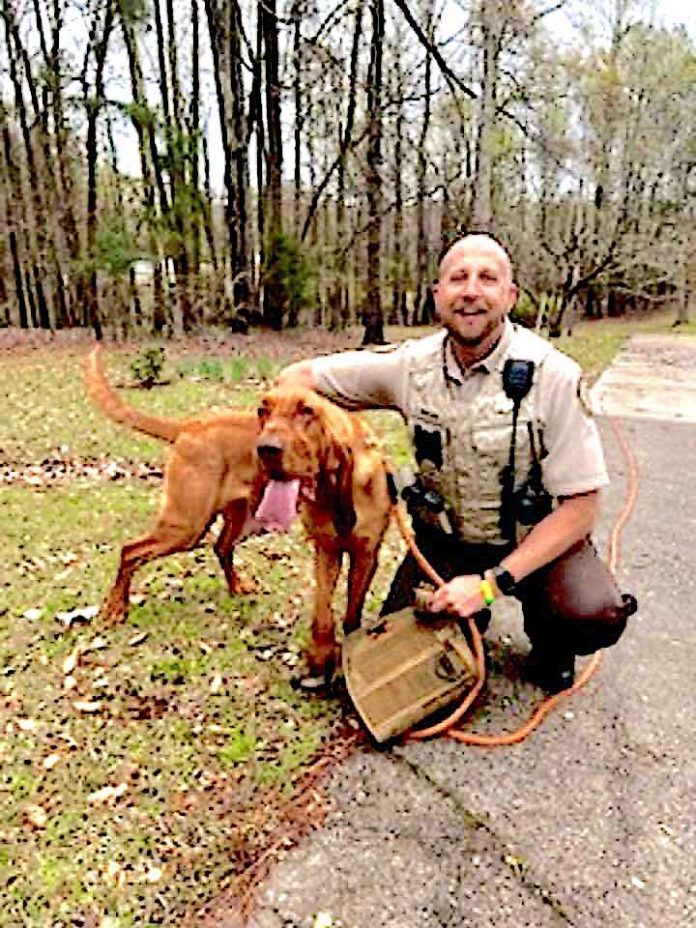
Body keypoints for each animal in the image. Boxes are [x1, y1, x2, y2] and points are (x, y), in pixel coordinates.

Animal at [84, 346, 264, 624]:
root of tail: (188, 426)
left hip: (233, 515)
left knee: (222, 548)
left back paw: (237, 587)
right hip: (187, 527)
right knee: (129, 551)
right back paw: (116, 608)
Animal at [256, 384, 396, 680]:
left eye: (307, 411)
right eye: (262, 409)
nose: (265, 449)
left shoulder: (365, 555)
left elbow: (352, 613)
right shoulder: (326, 550)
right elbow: (322, 609)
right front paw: (320, 654)